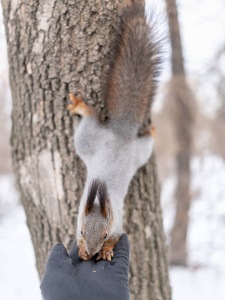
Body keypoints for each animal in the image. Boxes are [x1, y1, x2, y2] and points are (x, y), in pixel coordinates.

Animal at [67, 0, 161, 262]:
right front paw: (80, 248)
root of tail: (121, 132)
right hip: (88, 139)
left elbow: (117, 240)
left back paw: (151, 130)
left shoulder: (119, 226)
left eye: (105, 234)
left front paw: (107, 251)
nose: (90, 253)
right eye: (81, 231)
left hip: (135, 151)